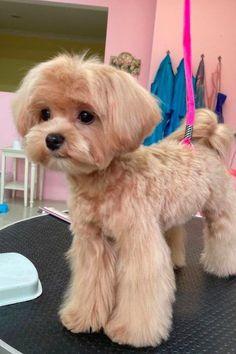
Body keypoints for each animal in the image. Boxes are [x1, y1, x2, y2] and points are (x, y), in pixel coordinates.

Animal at [12, 54, 236, 348]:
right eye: (45, 114)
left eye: (86, 116)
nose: (52, 138)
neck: (103, 181)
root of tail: (202, 144)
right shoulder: (93, 243)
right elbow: (91, 282)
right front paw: (83, 317)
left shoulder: (139, 242)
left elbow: (141, 288)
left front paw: (132, 332)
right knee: (175, 232)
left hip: (218, 208)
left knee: (223, 234)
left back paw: (223, 266)